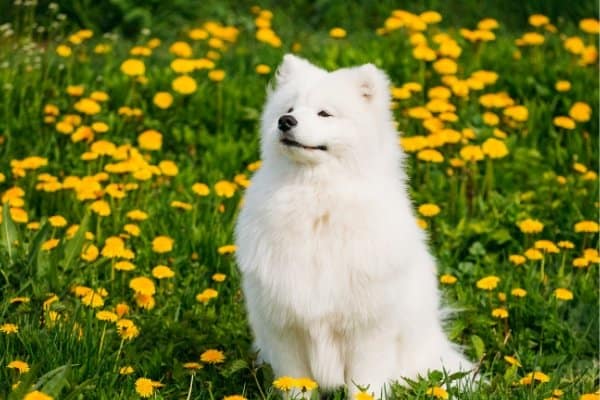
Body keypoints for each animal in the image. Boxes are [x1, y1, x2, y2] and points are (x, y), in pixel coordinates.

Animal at [234, 54, 474, 396]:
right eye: (289, 108)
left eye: (324, 113)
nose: (285, 122)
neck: (317, 201)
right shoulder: (284, 329)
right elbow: (295, 384)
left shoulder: (368, 331)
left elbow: (365, 385)